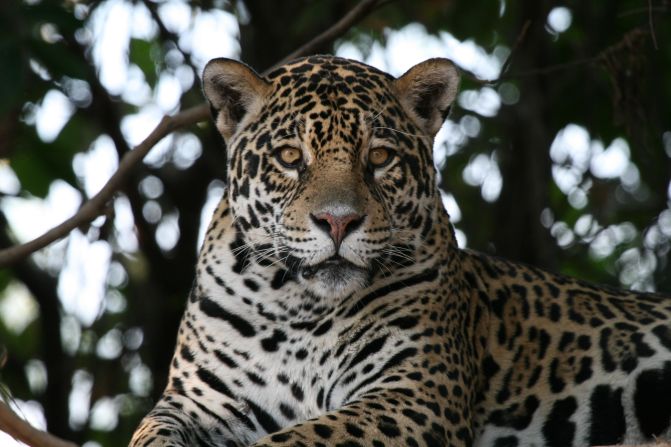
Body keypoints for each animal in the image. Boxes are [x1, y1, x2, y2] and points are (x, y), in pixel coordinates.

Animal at [130, 55, 671, 447]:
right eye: (289, 156)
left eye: (380, 157)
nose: (338, 221)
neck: (299, 304)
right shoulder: (200, 400)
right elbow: (150, 433)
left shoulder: (415, 392)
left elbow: (304, 437)